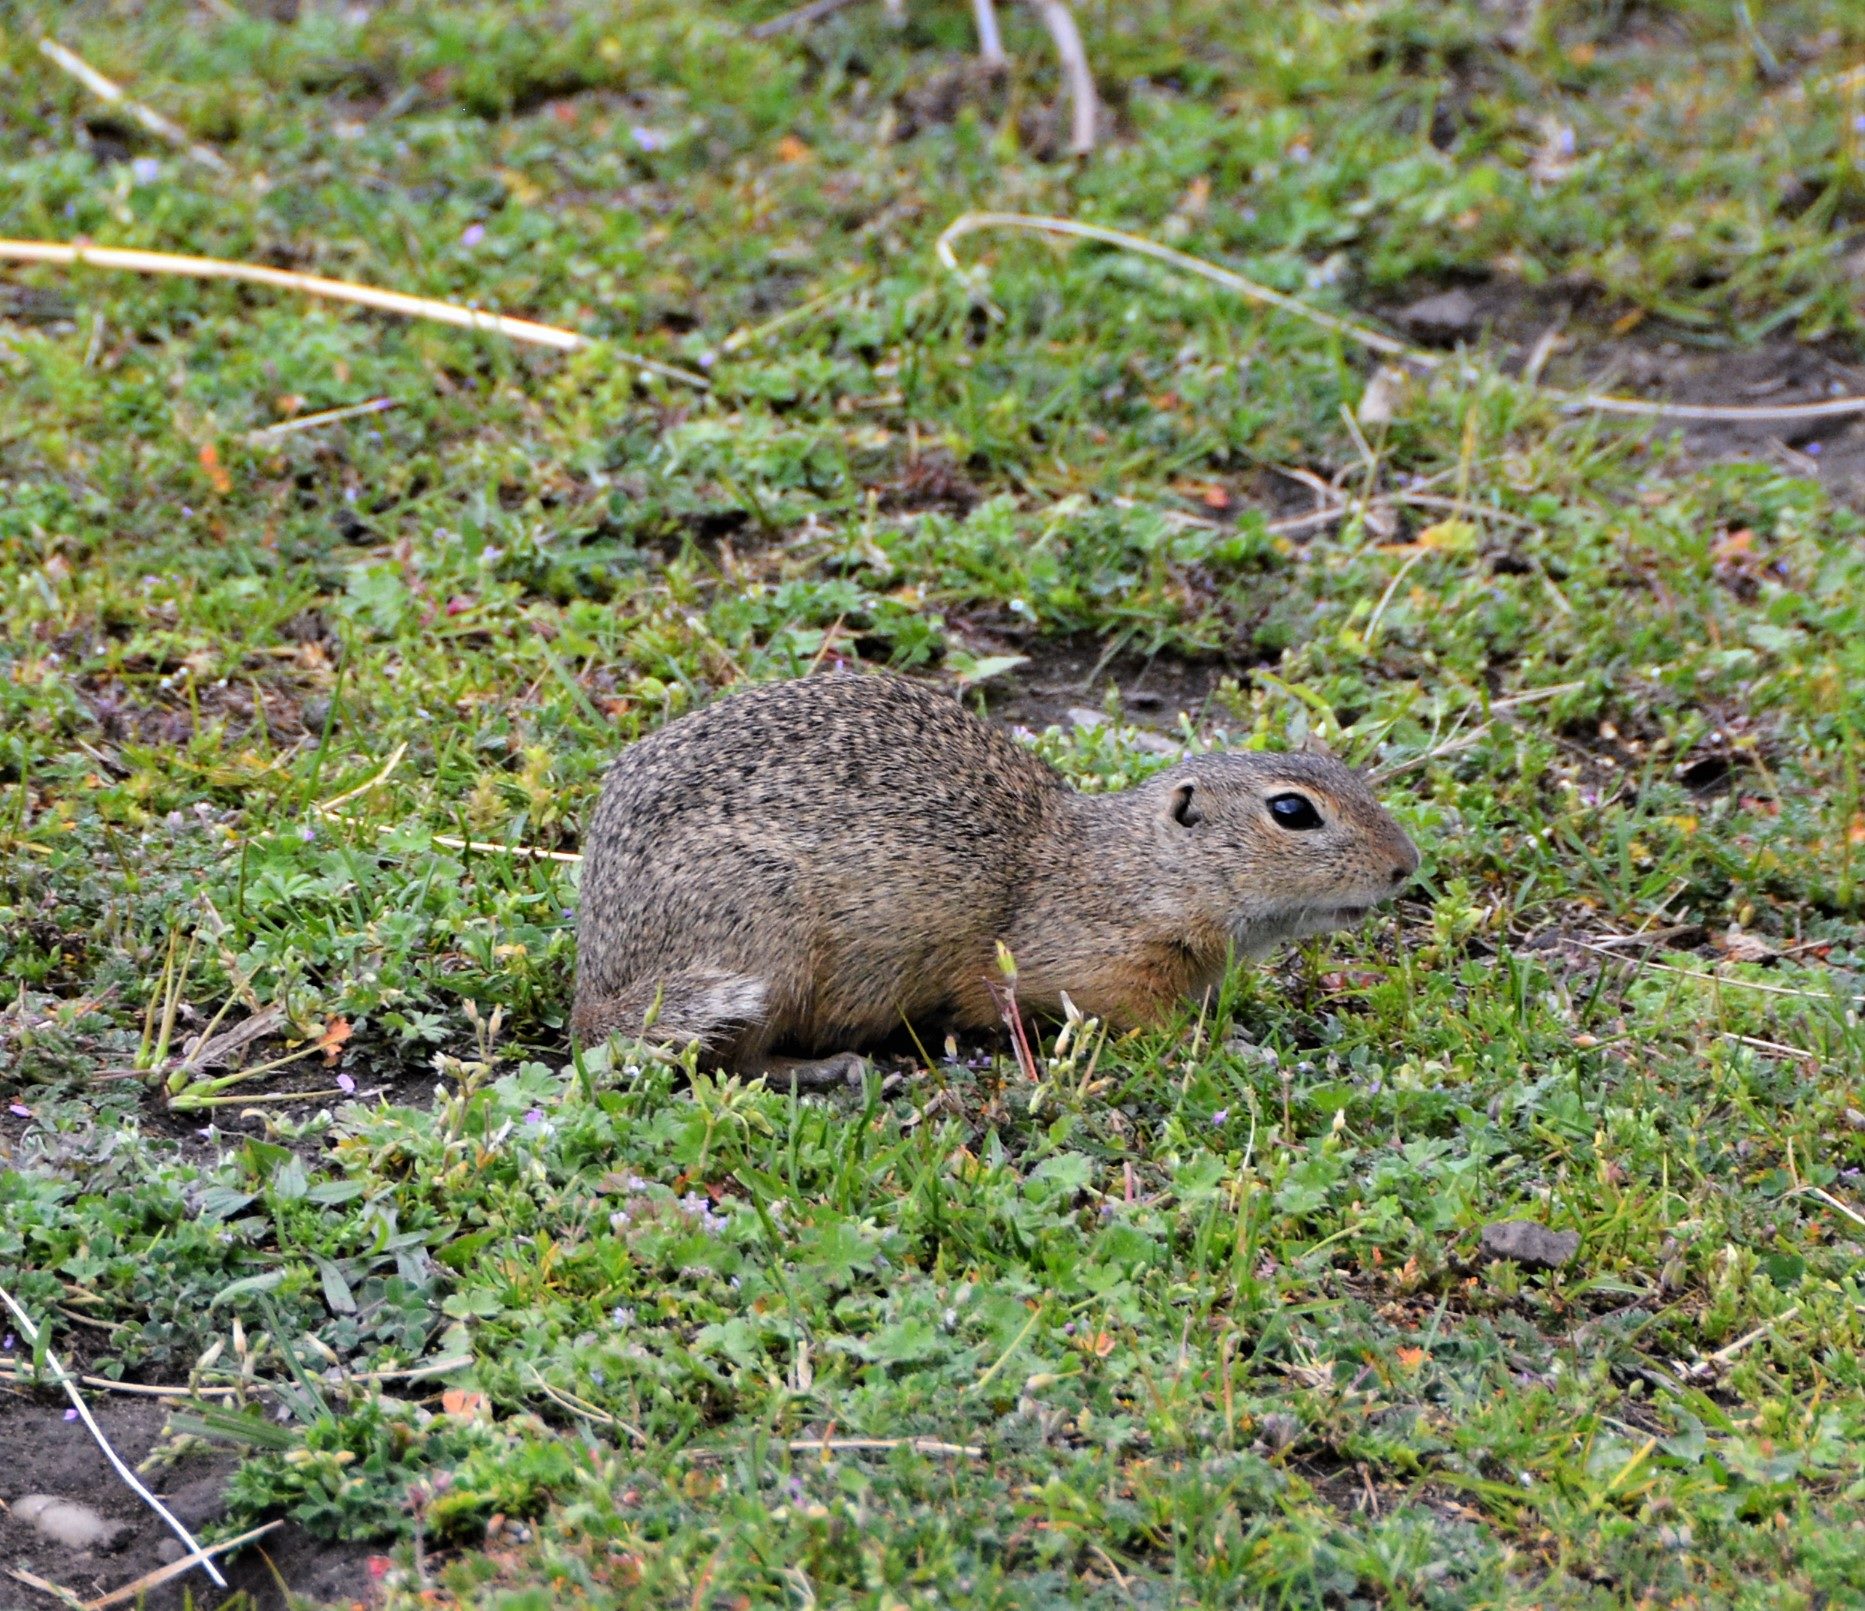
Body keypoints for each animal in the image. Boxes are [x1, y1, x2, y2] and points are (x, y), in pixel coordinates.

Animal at [574, 667, 1417, 1081]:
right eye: (1291, 810)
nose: (1406, 866)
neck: (1134, 871)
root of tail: (595, 990)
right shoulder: (1106, 977)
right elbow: (1158, 1026)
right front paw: (1242, 1049)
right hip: (764, 952)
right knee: (735, 1061)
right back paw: (833, 1069)